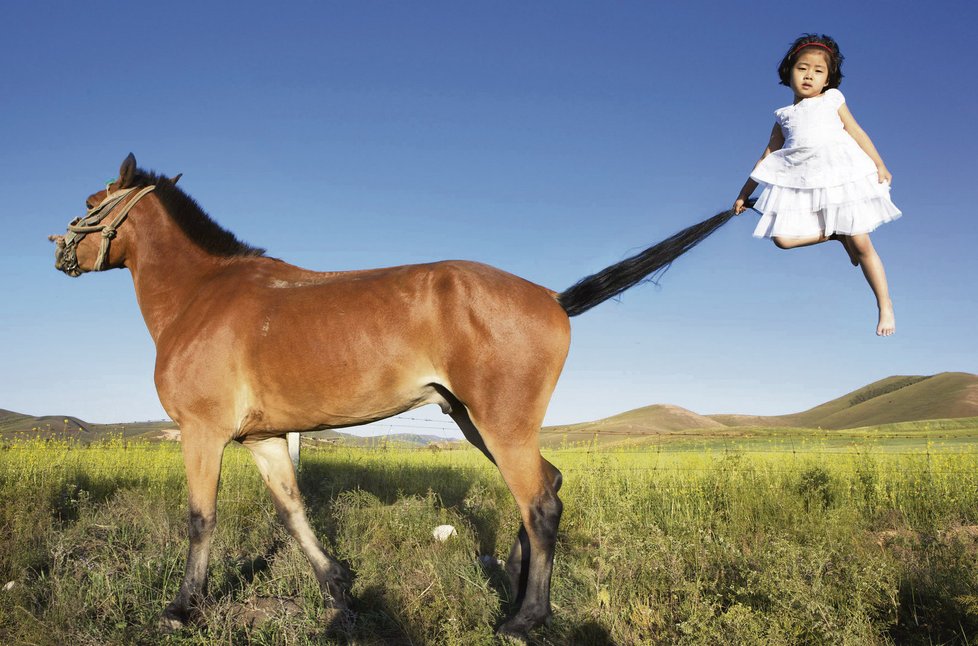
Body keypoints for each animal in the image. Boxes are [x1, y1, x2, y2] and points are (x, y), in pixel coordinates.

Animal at [47, 154, 732, 640]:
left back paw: (523, 619)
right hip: (474, 421)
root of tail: (552, 299)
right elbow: (294, 514)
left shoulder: (203, 432)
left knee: (540, 503)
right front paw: (338, 592)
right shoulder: (264, 440)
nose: (57, 253)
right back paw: (514, 587)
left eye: (89, 203)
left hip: (500, 424)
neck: (202, 295)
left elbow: (200, 519)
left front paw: (183, 607)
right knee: (550, 484)